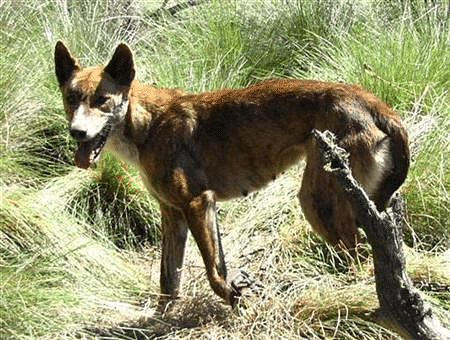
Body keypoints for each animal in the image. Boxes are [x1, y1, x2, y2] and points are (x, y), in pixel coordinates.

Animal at [54, 41, 410, 306]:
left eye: (102, 100)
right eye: (71, 98)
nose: (77, 133)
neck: (148, 125)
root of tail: (376, 104)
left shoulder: (198, 203)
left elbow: (214, 273)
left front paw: (238, 302)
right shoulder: (173, 214)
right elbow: (168, 282)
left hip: (317, 202)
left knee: (359, 258)